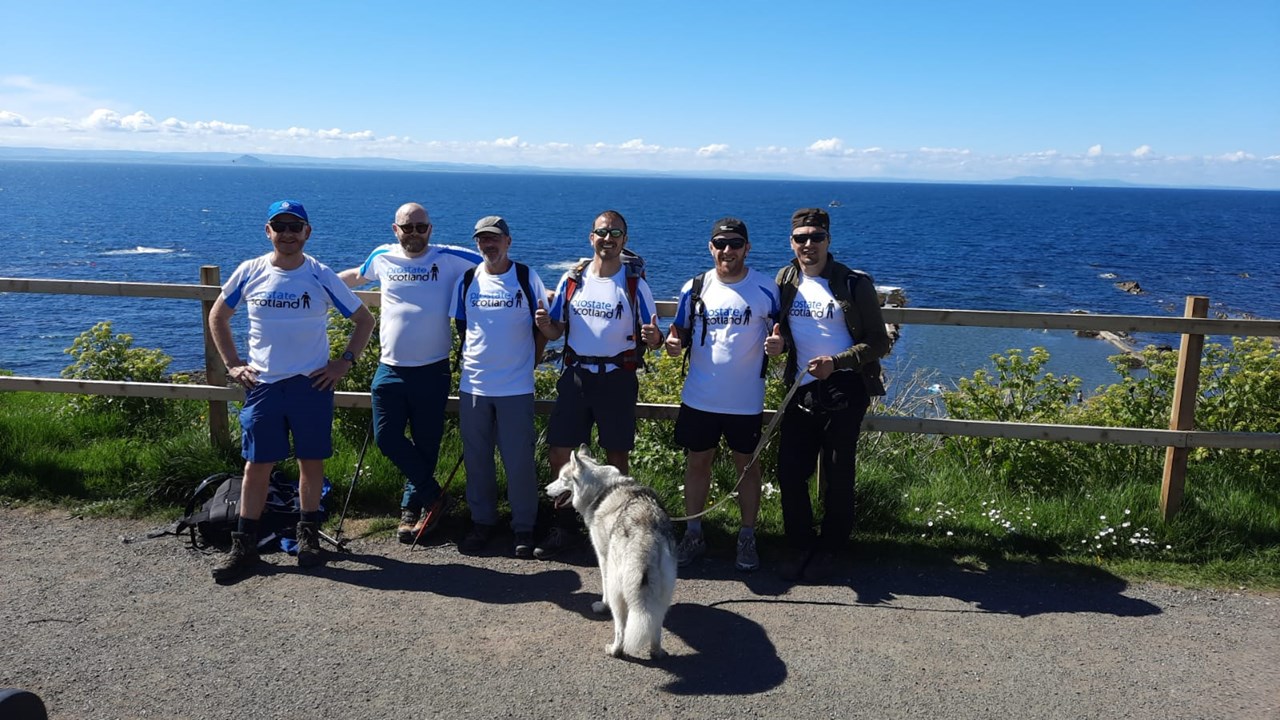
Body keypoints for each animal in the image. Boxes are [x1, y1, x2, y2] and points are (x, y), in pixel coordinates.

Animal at [542, 445, 675, 661]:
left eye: (562, 479)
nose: (545, 489)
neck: (600, 491)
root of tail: (645, 534)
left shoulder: (603, 558)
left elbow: (603, 587)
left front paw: (601, 606)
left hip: (618, 588)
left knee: (621, 629)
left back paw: (614, 650)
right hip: (664, 593)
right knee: (656, 627)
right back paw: (657, 652)